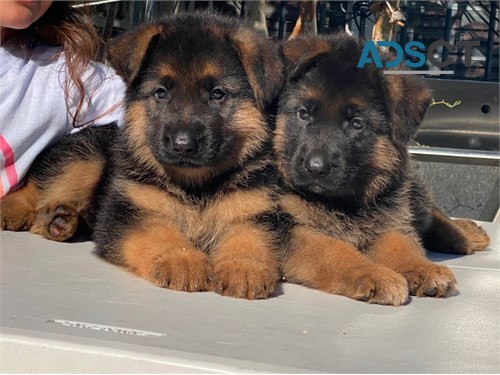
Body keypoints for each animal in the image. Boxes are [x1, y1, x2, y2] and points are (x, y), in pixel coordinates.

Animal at [0, 13, 286, 302]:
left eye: (218, 93)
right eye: (161, 92)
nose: (183, 145)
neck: (196, 187)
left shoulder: (253, 211)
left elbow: (248, 237)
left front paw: (244, 267)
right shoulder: (131, 211)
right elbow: (160, 232)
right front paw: (181, 260)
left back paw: (59, 220)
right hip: (87, 156)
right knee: (39, 185)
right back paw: (16, 209)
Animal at [274, 33, 488, 306]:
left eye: (357, 124)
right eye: (303, 114)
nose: (315, 168)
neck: (344, 201)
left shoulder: (390, 218)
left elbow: (401, 243)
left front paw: (421, 267)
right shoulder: (288, 228)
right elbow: (333, 249)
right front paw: (371, 273)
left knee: (428, 212)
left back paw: (466, 233)